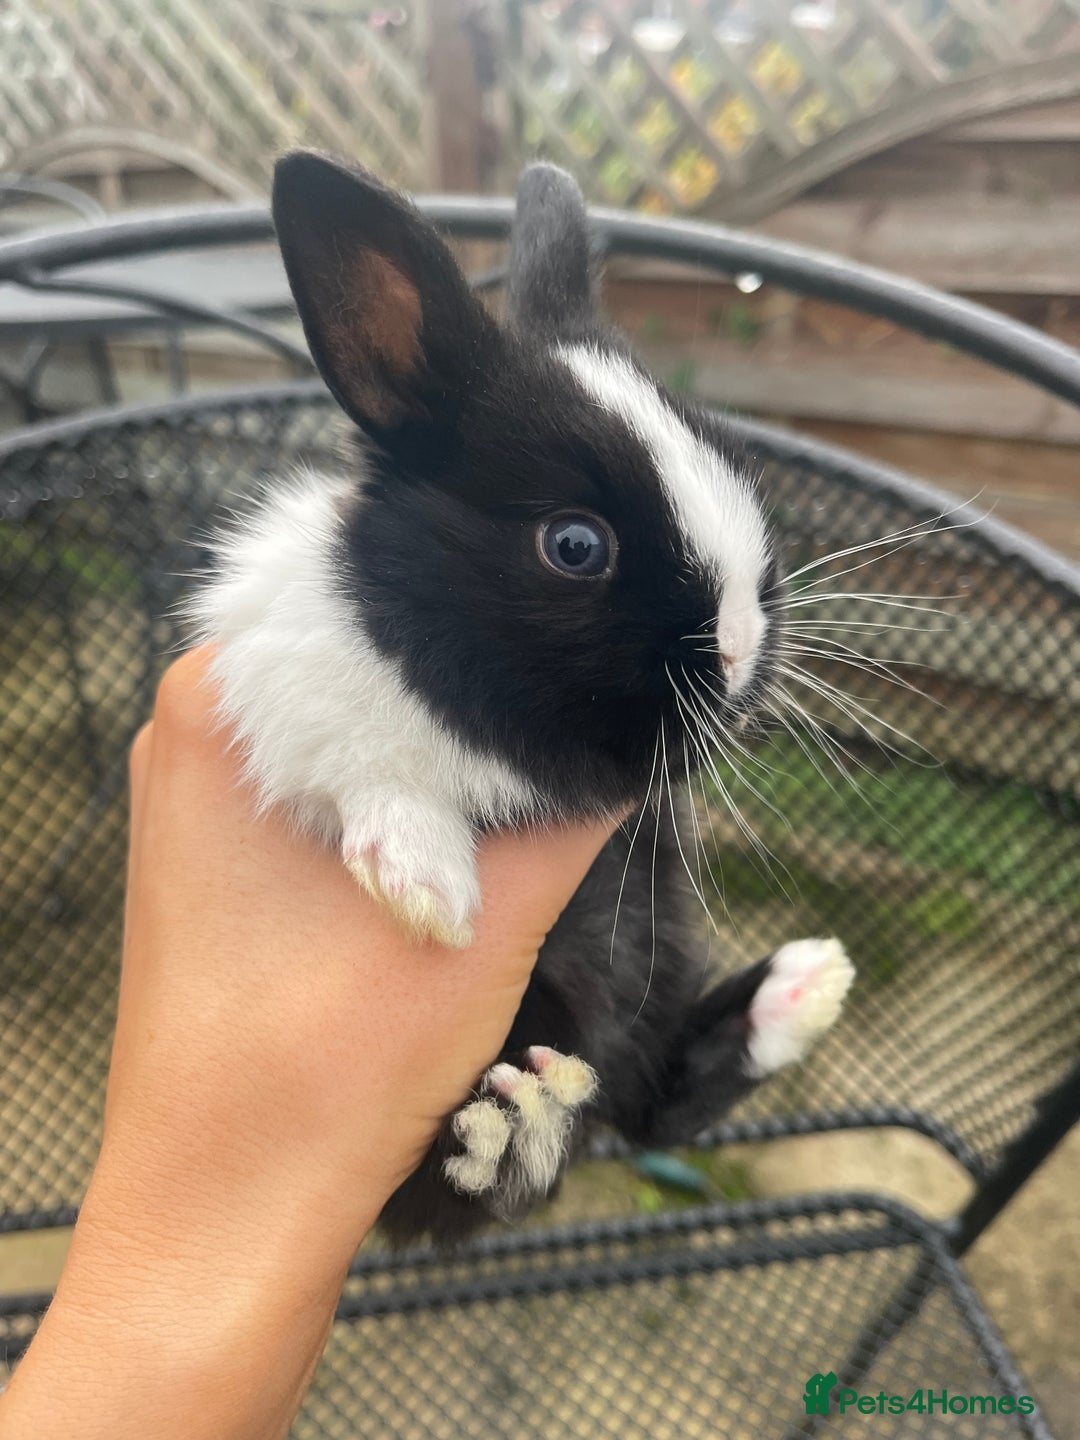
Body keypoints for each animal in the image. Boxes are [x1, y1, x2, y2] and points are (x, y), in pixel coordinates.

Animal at [188, 152, 854, 1247]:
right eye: (575, 545)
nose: (742, 647)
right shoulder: (278, 681)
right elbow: (358, 757)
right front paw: (426, 888)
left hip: (656, 957)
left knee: (648, 1097)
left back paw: (802, 988)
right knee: (473, 1180)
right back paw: (511, 1130)